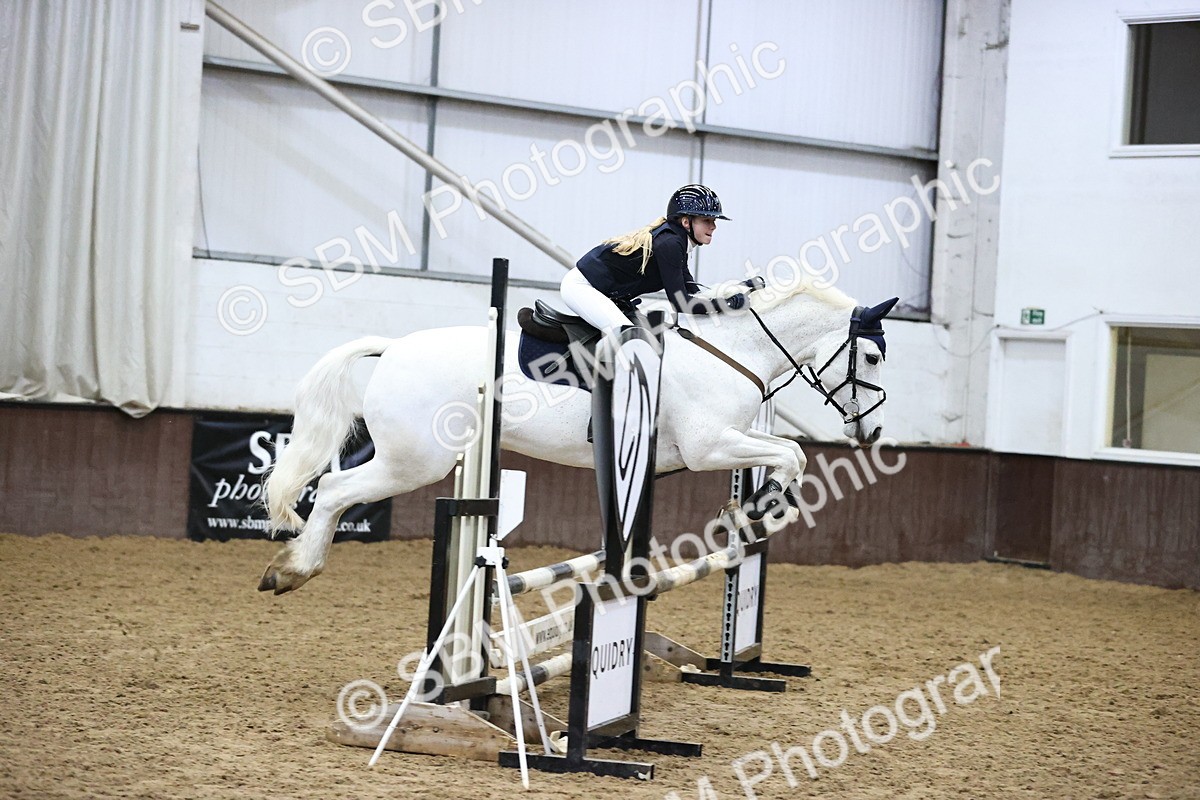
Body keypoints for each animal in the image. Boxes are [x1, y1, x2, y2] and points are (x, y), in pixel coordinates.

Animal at [258, 278, 898, 594]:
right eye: (870, 355)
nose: (873, 430)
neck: (728, 347)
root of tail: (392, 347)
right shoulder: (710, 445)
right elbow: (792, 454)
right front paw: (757, 508)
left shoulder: (720, 441)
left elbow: (790, 453)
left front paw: (753, 508)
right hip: (416, 460)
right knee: (335, 492)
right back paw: (293, 570)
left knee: (334, 488)